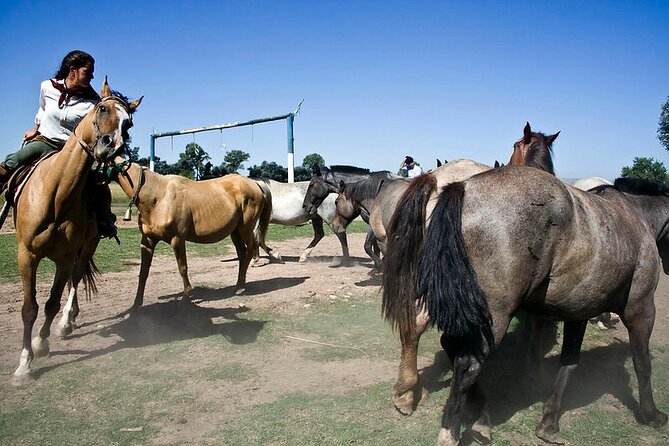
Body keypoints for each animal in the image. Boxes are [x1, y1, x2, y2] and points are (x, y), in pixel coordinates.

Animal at [10, 79, 141, 386]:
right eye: (102, 108)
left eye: (128, 123)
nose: (111, 146)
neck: (57, 194)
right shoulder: (26, 255)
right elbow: (29, 308)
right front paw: (23, 366)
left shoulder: (66, 255)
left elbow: (51, 303)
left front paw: (41, 342)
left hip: (89, 243)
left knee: (77, 277)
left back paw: (66, 322)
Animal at [109, 162, 275, 310]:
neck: (158, 196)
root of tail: (255, 184)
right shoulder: (147, 241)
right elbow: (143, 273)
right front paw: (135, 305)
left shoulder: (177, 239)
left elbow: (182, 268)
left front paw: (185, 298)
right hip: (235, 231)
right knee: (242, 253)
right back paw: (238, 285)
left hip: (245, 228)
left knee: (249, 251)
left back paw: (241, 285)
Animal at [384, 167, 669, 445]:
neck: (635, 217)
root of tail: (463, 187)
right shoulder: (641, 310)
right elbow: (642, 363)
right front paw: (652, 414)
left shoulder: (578, 313)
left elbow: (569, 363)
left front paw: (549, 423)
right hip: (493, 315)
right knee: (467, 363)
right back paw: (451, 431)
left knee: (447, 345)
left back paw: (476, 415)